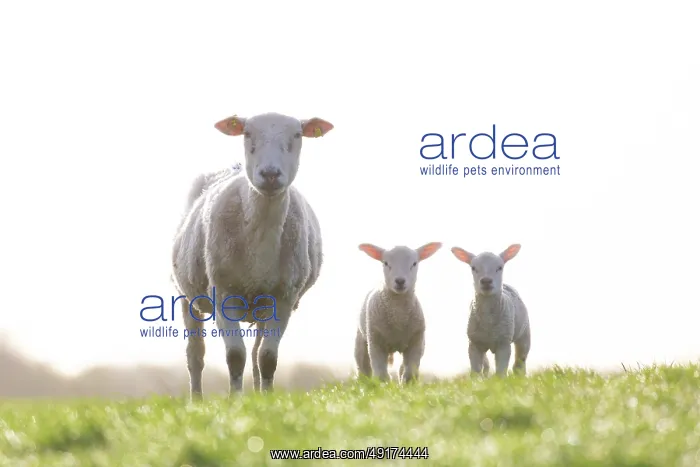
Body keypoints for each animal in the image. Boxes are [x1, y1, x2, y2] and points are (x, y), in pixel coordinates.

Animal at [171, 112, 334, 398]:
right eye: (247, 134)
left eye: (297, 135)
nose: (270, 174)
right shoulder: (223, 293)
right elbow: (235, 355)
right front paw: (235, 400)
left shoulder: (283, 297)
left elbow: (267, 357)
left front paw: (265, 400)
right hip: (187, 296)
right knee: (195, 355)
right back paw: (197, 399)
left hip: (262, 303)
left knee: (258, 351)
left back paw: (259, 392)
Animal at [354, 242, 443, 384]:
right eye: (386, 263)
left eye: (414, 263)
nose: (400, 281)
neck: (398, 317)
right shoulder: (376, 341)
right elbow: (381, 373)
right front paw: (382, 385)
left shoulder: (416, 341)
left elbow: (410, 371)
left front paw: (408, 384)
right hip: (362, 339)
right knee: (363, 367)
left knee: (402, 368)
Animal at [450, 244, 530, 377]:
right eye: (473, 268)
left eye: (500, 267)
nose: (486, 281)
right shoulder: (474, 343)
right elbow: (475, 372)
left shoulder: (504, 343)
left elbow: (501, 372)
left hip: (524, 334)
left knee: (520, 361)